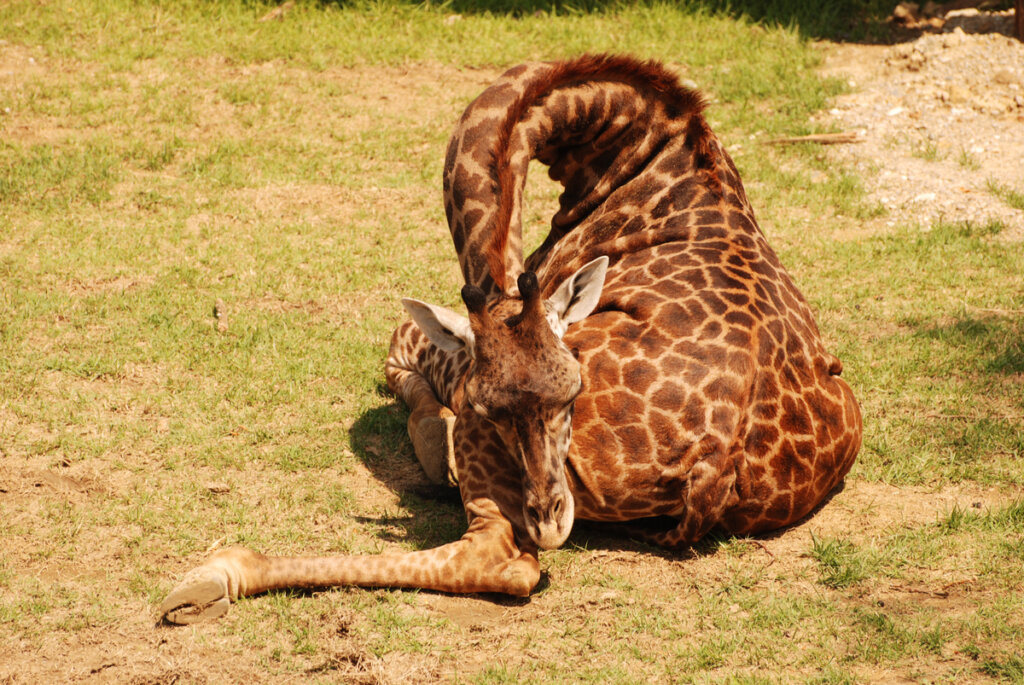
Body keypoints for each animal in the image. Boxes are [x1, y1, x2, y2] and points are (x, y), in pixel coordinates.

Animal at [157, 52, 864, 618]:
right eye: (495, 408)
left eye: (574, 395)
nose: (549, 521)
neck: (642, 157)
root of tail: (715, 461)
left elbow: (405, 339)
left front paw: (430, 433)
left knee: (495, 558)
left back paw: (211, 579)